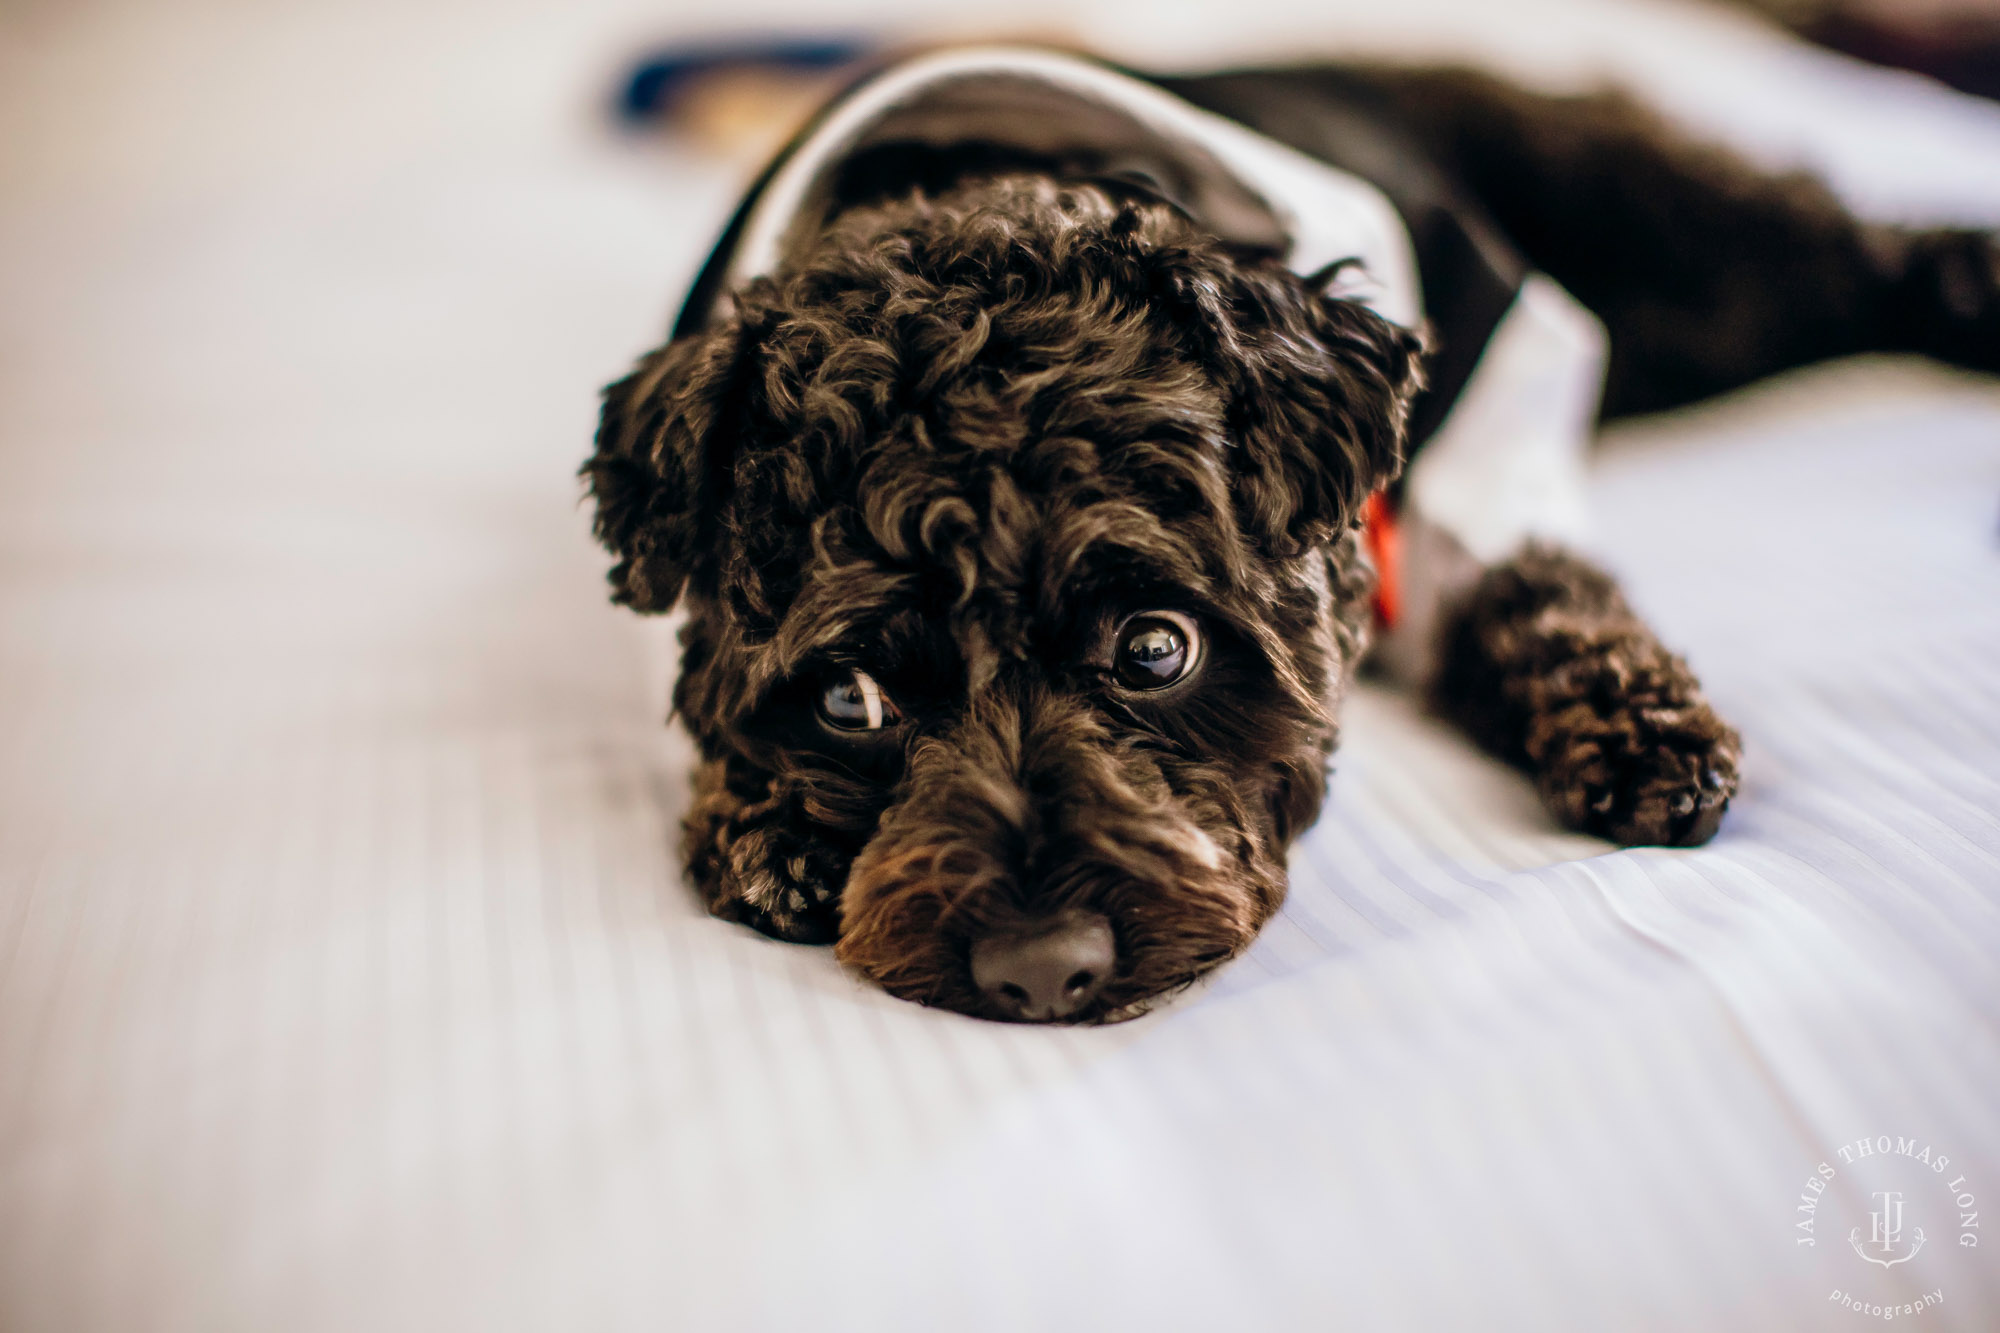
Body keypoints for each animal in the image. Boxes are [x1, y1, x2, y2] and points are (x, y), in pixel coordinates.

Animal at [588, 41, 2000, 1016]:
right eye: (849, 701)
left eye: (1155, 648)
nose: (1040, 969)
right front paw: (764, 827)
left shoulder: (1498, 394)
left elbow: (1529, 578)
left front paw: (1639, 725)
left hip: (1683, 246)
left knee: (1840, 243)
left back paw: (1960, 283)